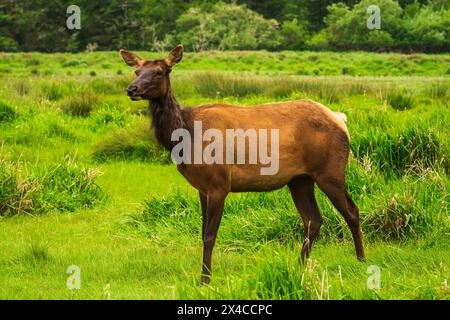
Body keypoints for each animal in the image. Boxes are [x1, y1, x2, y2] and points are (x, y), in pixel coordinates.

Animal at [120, 44, 366, 282]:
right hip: (299, 179)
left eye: (160, 71)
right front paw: (204, 276)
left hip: (330, 170)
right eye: (137, 71)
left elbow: (209, 236)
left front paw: (205, 279)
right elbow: (202, 233)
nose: (131, 89)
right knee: (313, 219)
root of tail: (341, 120)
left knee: (352, 211)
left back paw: (361, 260)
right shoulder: (202, 187)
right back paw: (300, 266)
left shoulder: (219, 183)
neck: (186, 135)